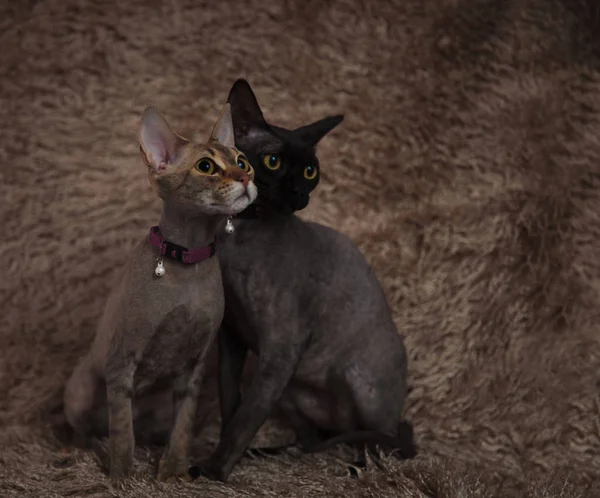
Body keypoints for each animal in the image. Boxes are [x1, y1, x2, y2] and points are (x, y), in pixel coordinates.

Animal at [63, 103, 258, 480]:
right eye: (206, 166)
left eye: (242, 161)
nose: (245, 178)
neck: (188, 262)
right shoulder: (121, 360)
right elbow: (122, 428)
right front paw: (122, 475)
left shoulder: (195, 365)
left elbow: (183, 425)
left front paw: (173, 471)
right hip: (79, 392)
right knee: (90, 431)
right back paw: (93, 450)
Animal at [195, 79, 414, 482]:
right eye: (274, 162)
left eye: (311, 171)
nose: (299, 194)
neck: (239, 235)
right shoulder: (232, 338)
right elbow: (231, 408)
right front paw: (221, 464)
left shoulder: (281, 349)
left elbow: (243, 420)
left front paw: (214, 472)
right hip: (291, 390)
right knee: (311, 440)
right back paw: (267, 454)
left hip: (360, 382)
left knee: (386, 443)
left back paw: (358, 470)